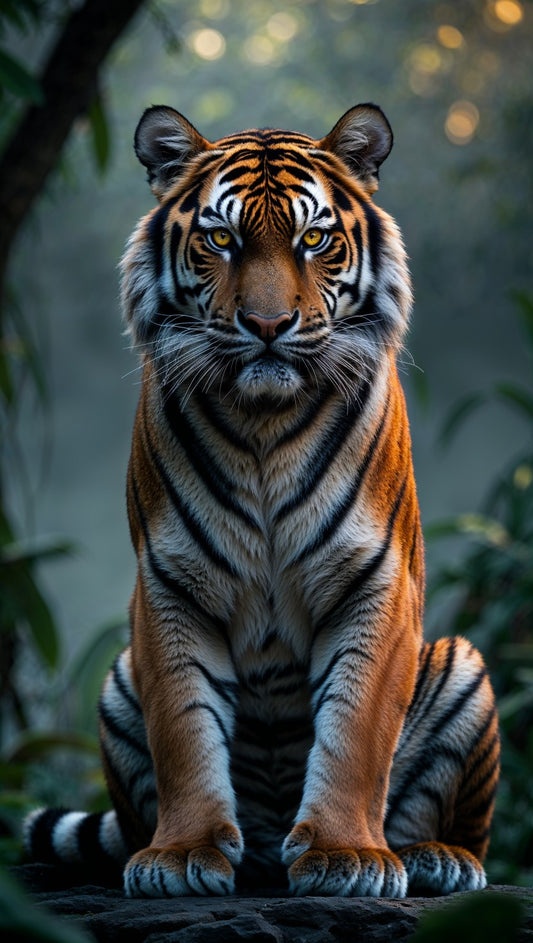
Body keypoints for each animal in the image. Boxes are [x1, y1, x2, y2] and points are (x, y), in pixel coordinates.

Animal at [25, 103, 500, 899]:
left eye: (314, 239)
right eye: (222, 239)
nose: (269, 326)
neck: (264, 424)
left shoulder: (375, 579)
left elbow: (355, 729)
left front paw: (345, 854)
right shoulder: (170, 585)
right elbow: (183, 727)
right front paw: (183, 853)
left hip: (461, 662)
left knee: (462, 830)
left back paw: (436, 858)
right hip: (118, 678)